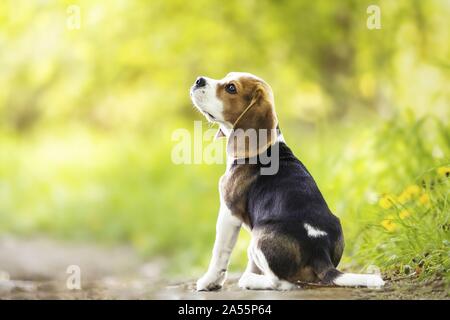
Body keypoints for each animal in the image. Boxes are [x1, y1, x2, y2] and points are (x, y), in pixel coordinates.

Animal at [189, 72, 384, 290]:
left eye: (231, 88)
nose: (199, 80)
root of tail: (320, 251)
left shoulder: (228, 213)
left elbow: (220, 252)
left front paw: (209, 281)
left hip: (259, 236)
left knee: (281, 283)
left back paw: (249, 280)